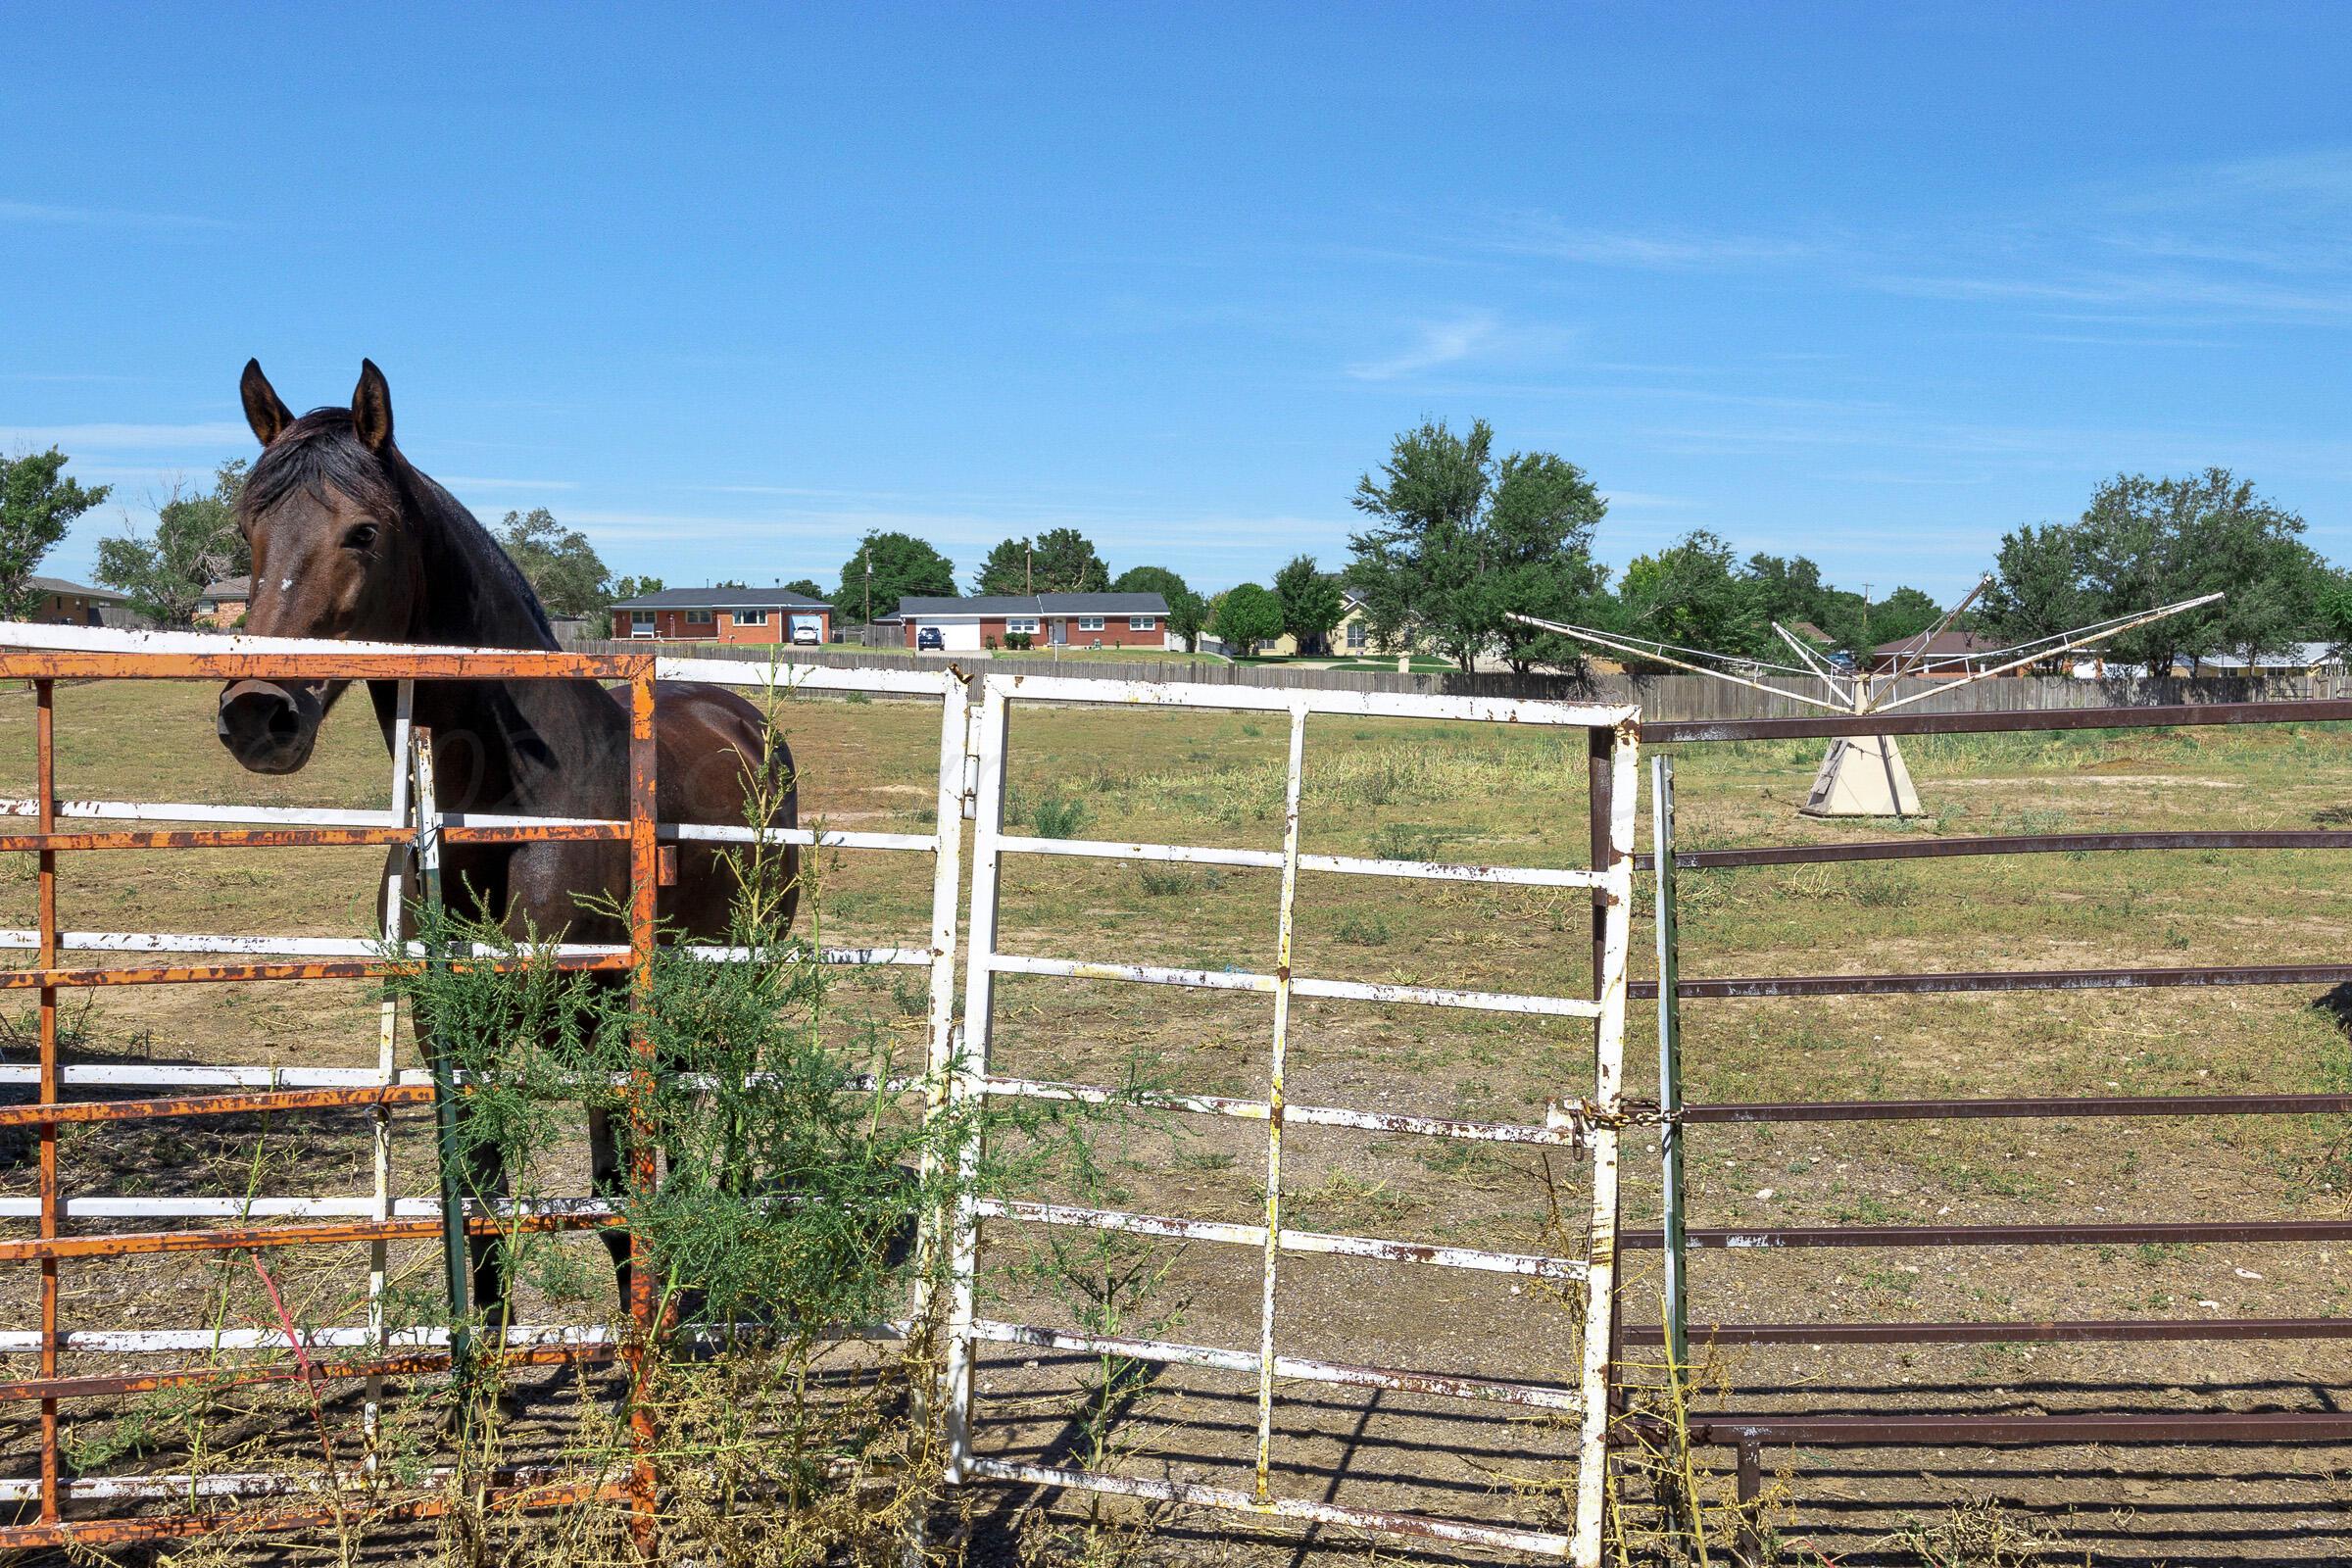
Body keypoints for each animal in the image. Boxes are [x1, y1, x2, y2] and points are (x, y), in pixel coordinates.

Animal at [220, 360, 795, 1316]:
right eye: (247, 528)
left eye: (364, 532)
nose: (259, 714)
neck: (504, 807)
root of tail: (741, 718)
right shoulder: (455, 1030)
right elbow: (481, 1205)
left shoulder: (600, 1023)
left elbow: (616, 1197)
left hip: (744, 965)